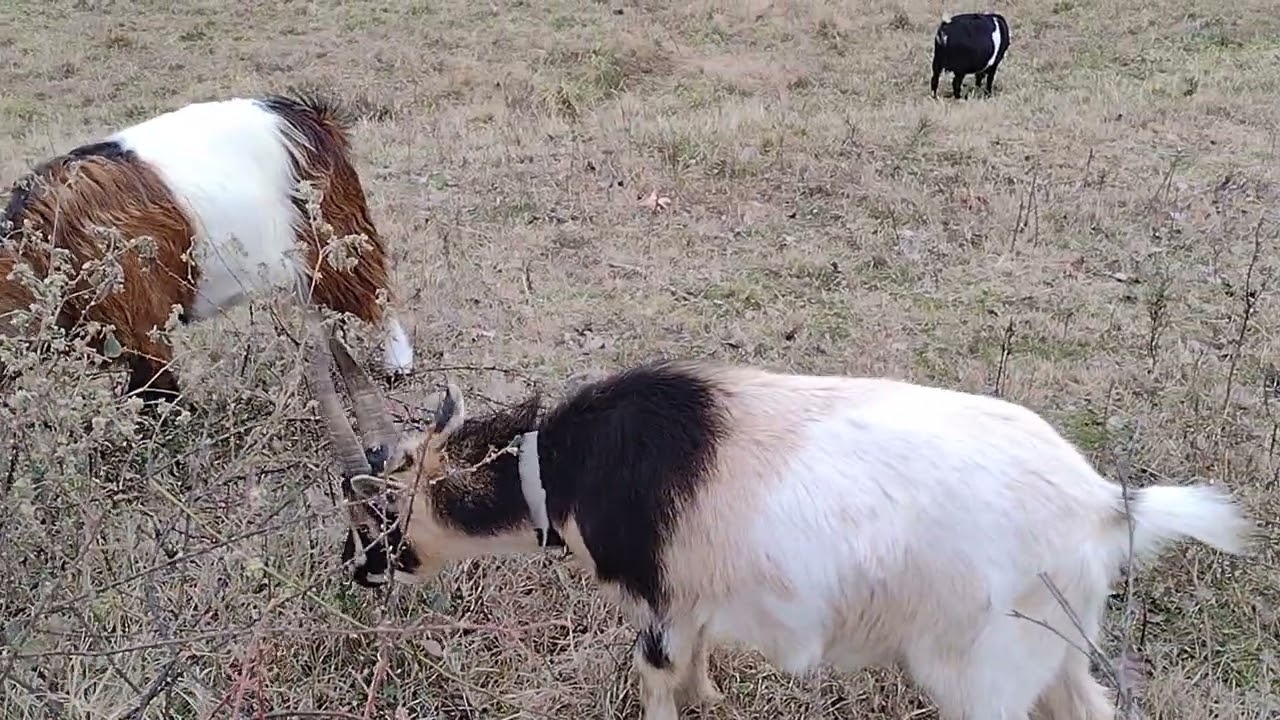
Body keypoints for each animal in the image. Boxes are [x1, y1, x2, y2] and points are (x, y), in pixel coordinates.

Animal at [0, 92, 415, 404]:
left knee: (373, 298)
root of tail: (313, 117)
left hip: (335, 238)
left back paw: (397, 366)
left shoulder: (142, 326)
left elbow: (158, 391)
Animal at [307, 345, 1253, 720]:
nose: (359, 571)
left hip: (984, 675)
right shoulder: (694, 600)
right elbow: (698, 668)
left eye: (375, 510)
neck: (568, 471)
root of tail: (1103, 505)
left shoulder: (656, 602)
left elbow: (658, 678)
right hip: (1056, 648)